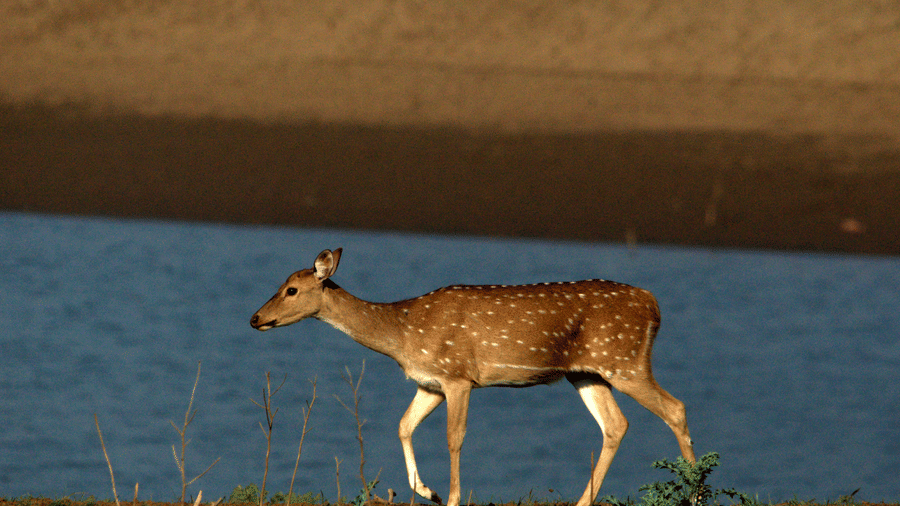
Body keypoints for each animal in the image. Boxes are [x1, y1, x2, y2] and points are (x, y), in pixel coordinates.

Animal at [250, 248, 696, 506]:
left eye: (291, 290)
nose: (255, 318)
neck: (403, 333)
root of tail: (653, 304)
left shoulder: (459, 375)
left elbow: (454, 438)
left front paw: (449, 498)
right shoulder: (429, 382)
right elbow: (403, 425)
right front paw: (425, 490)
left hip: (624, 361)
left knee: (675, 407)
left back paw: (695, 491)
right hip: (587, 373)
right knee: (616, 425)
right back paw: (583, 502)